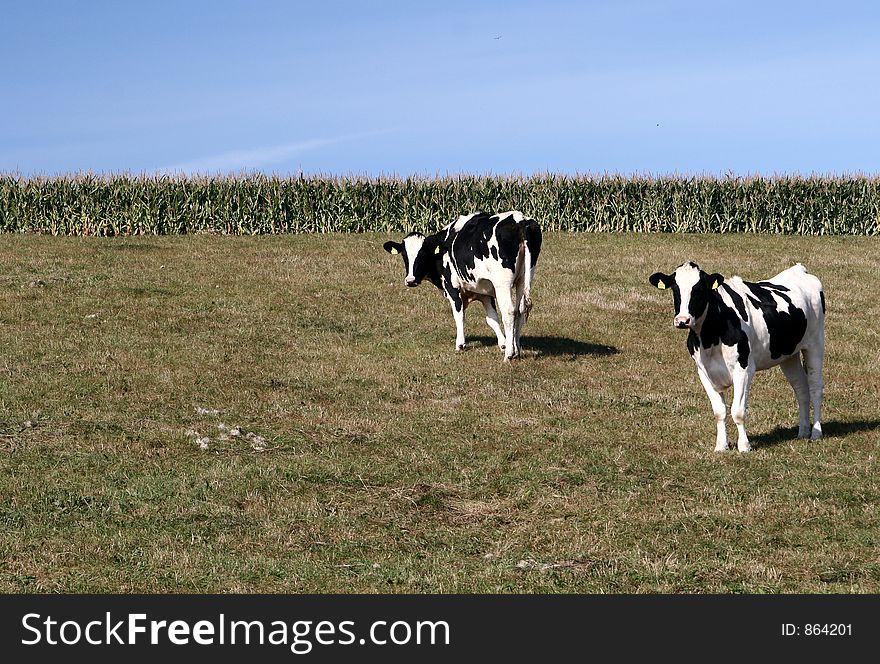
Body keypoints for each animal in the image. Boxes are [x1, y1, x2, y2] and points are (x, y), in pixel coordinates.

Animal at [384, 211, 544, 360]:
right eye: (404, 255)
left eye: (423, 254)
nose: (410, 280)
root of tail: (519, 220)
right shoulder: (484, 292)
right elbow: (492, 319)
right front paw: (503, 343)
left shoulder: (452, 287)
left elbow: (459, 314)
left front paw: (460, 344)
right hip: (524, 279)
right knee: (520, 310)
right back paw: (516, 349)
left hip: (502, 283)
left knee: (509, 312)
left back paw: (509, 354)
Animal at [648, 262, 824, 454]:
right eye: (675, 289)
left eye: (700, 289)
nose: (682, 320)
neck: (710, 338)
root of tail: (799, 269)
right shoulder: (704, 371)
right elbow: (719, 411)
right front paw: (721, 445)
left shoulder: (743, 369)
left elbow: (738, 411)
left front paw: (744, 446)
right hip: (788, 355)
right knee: (801, 389)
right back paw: (803, 431)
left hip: (815, 345)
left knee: (815, 388)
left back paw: (816, 432)